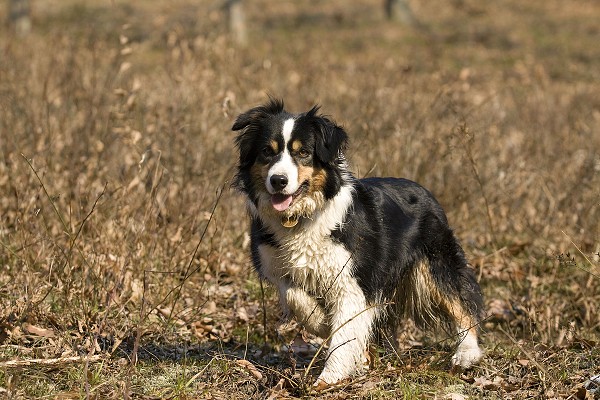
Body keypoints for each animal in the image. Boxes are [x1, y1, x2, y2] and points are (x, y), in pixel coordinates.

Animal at [232, 98, 486, 386]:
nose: (278, 181)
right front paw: (323, 322)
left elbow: (346, 330)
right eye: (267, 151)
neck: (300, 218)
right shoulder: (277, 267)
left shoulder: (352, 277)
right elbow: (296, 296)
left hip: (434, 261)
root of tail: (425, 191)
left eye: (303, 152)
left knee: (459, 300)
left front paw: (328, 380)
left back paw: (466, 353)